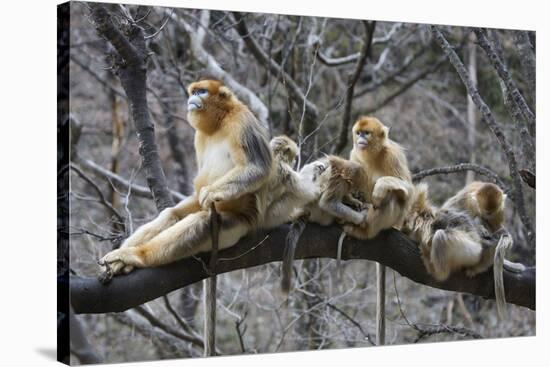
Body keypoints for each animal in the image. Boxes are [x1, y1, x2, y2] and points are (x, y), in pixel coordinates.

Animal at [98, 79, 274, 278]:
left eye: (202, 91)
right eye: (194, 92)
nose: (193, 97)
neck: (220, 121)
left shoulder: (242, 121)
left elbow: (257, 167)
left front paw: (211, 192)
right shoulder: (200, 136)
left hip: (237, 224)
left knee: (203, 222)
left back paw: (137, 256)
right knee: (172, 214)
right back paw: (120, 261)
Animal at [344, 116, 414, 346]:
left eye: (366, 133)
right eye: (358, 133)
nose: (361, 139)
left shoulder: (393, 154)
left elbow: (407, 191)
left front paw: (380, 188)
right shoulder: (354, 154)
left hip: (393, 219)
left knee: (393, 196)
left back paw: (365, 229)